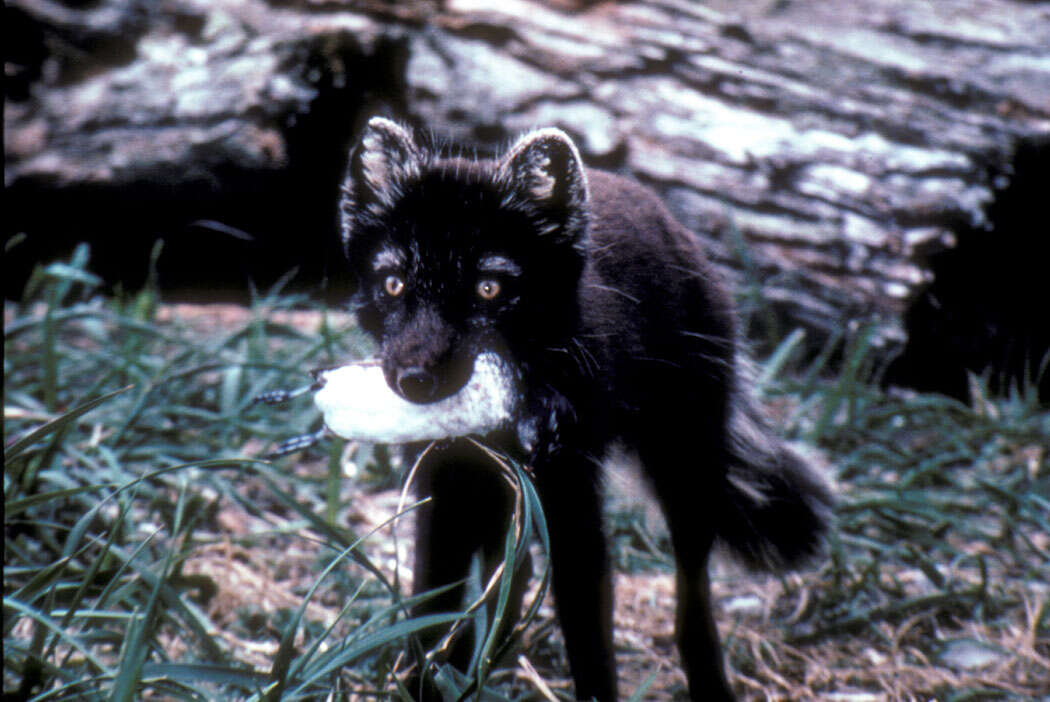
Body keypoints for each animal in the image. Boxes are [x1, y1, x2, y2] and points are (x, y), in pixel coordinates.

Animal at [340, 117, 831, 696]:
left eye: (489, 289)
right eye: (393, 284)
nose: (415, 380)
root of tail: (677, 229)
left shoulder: (572, 497)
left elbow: (589, 634)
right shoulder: (444, 493)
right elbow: (431, 609)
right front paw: (427, 682)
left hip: (685, 467)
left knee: (692, 592)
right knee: (512, 578)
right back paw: (481, 663)